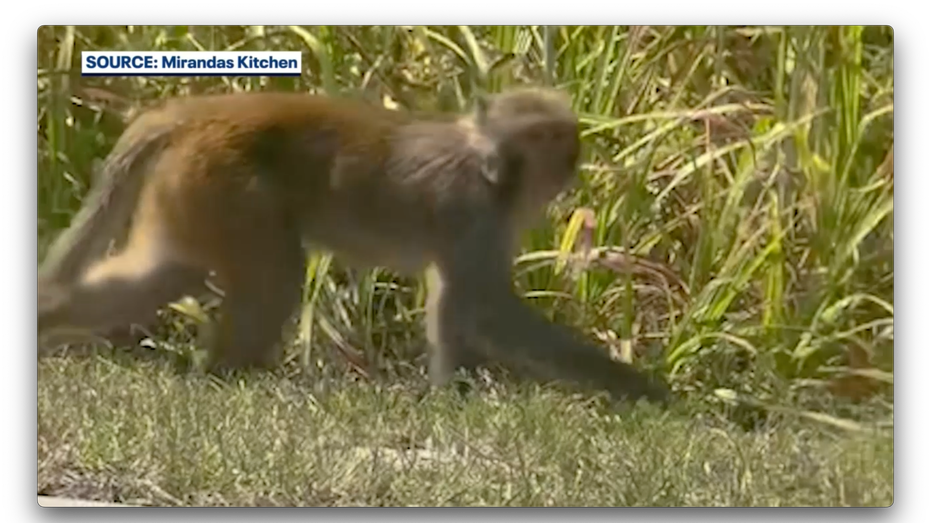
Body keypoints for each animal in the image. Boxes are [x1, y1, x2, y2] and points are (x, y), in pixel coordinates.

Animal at [36, 86, 668, 406]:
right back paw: (227, 376)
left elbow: (453, 307)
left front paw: (451, 397)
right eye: (549, 141)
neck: (490, 172)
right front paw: (639, 388)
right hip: (225, 185)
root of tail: (202, 110)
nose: (572, 158)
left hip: (191, 188)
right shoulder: (476, 214)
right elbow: (486, 311)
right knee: (276, 277)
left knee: (166, 273)